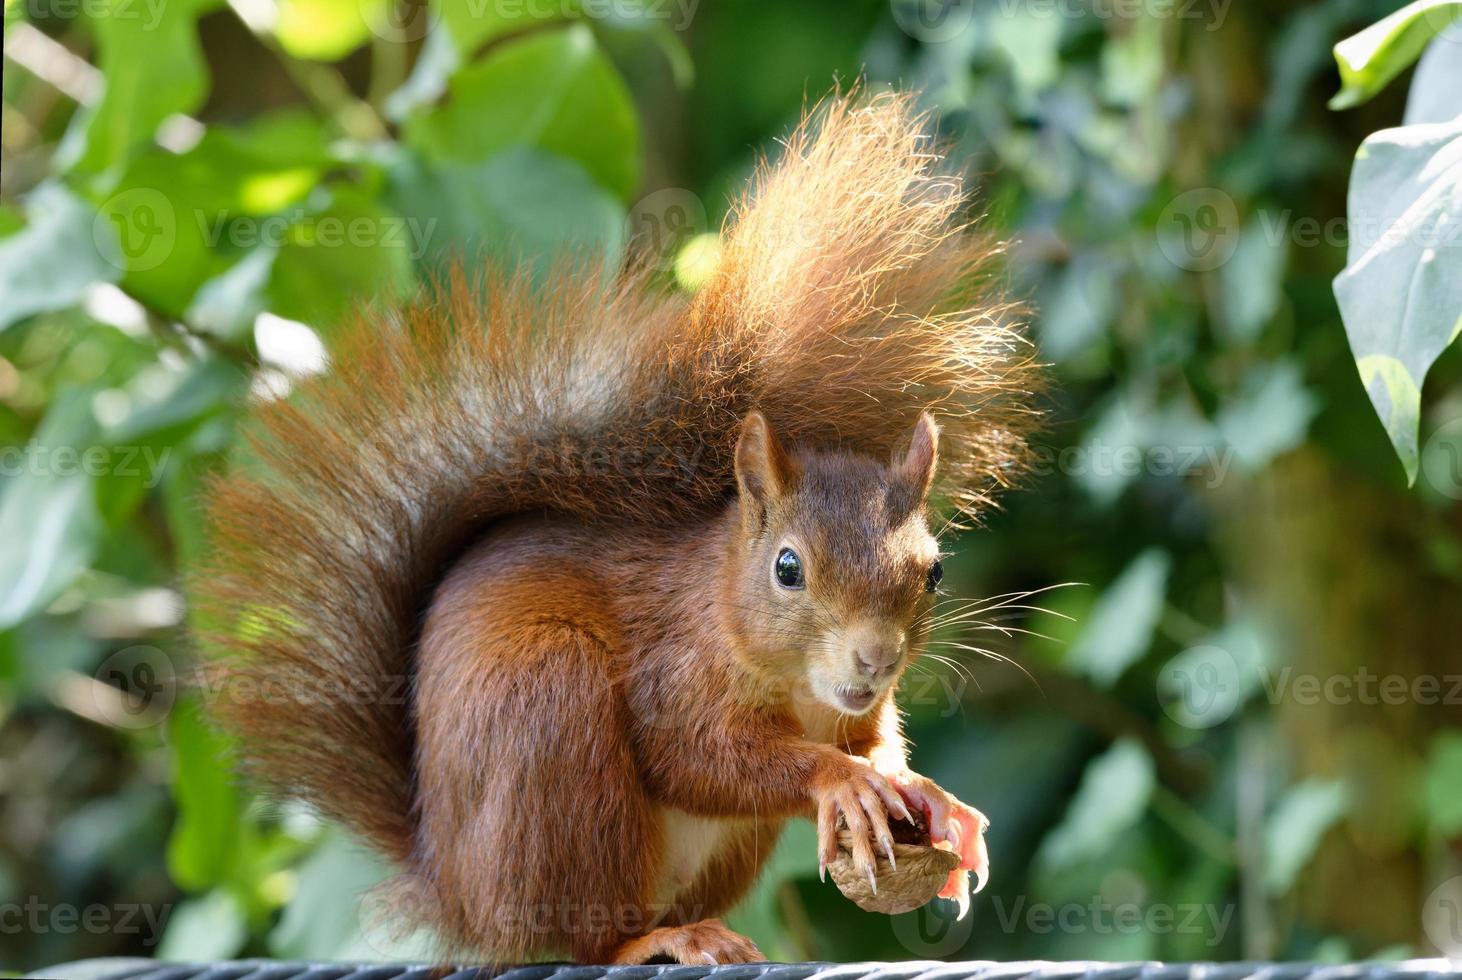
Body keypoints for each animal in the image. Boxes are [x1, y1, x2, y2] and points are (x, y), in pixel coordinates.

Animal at [191, 92, 1040, 965]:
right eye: (787, 568)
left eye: (934, 570)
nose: (875, 658)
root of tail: (456, 894)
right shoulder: (676, 667)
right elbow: (693, 757)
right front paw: (838, 780)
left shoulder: (859, 711)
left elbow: (876, 745)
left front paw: (926, 795)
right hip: (548, 715)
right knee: (584, 936)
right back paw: (654, 940)